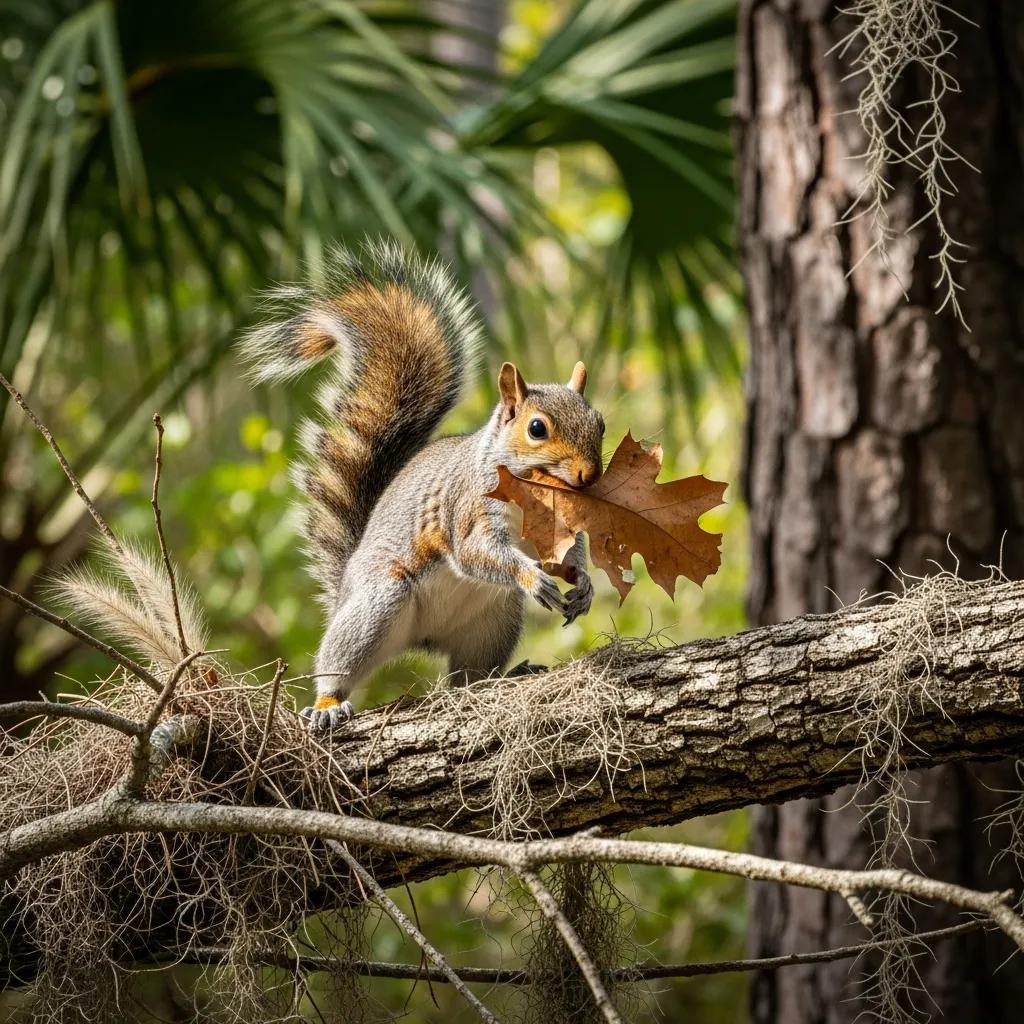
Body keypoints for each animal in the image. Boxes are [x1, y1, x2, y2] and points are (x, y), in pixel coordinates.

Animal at [241, 240, 606, 734]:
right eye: (536, 429)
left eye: (600, 423)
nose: (590, 475)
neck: (537, 498)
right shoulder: (467, 509)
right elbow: (475, 553)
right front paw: (534, 576)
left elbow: (570, 557)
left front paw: (582, 584)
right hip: (378, 602)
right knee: (338, 664)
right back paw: (328, 704)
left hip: (493, 622)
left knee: (467, 678)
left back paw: (506, 677)